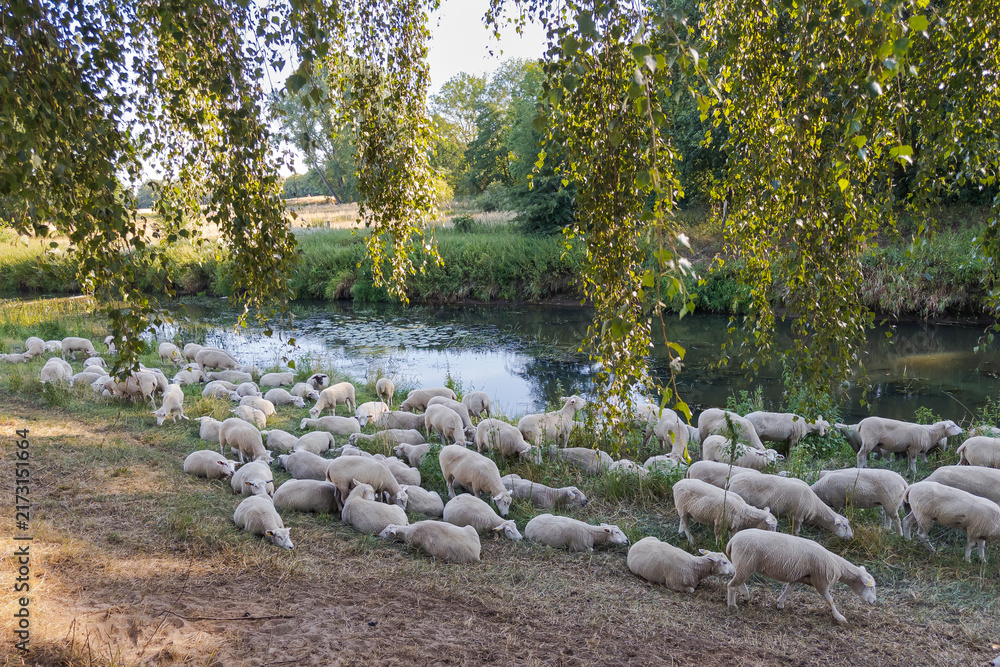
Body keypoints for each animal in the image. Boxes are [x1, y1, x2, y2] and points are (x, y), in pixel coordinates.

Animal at [726, 529, 876, 624]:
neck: (837, 565)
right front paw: (839, 617)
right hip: (746, 562)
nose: (874, 602)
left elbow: (789, 590)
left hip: (743, 564)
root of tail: (732, 541)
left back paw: (746, 596)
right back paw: (732, 605)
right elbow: (830, 600)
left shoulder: (797, 576)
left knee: (738, 580)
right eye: (871, 587)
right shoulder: (820, 581)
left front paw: (780, 603)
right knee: (732, 585)